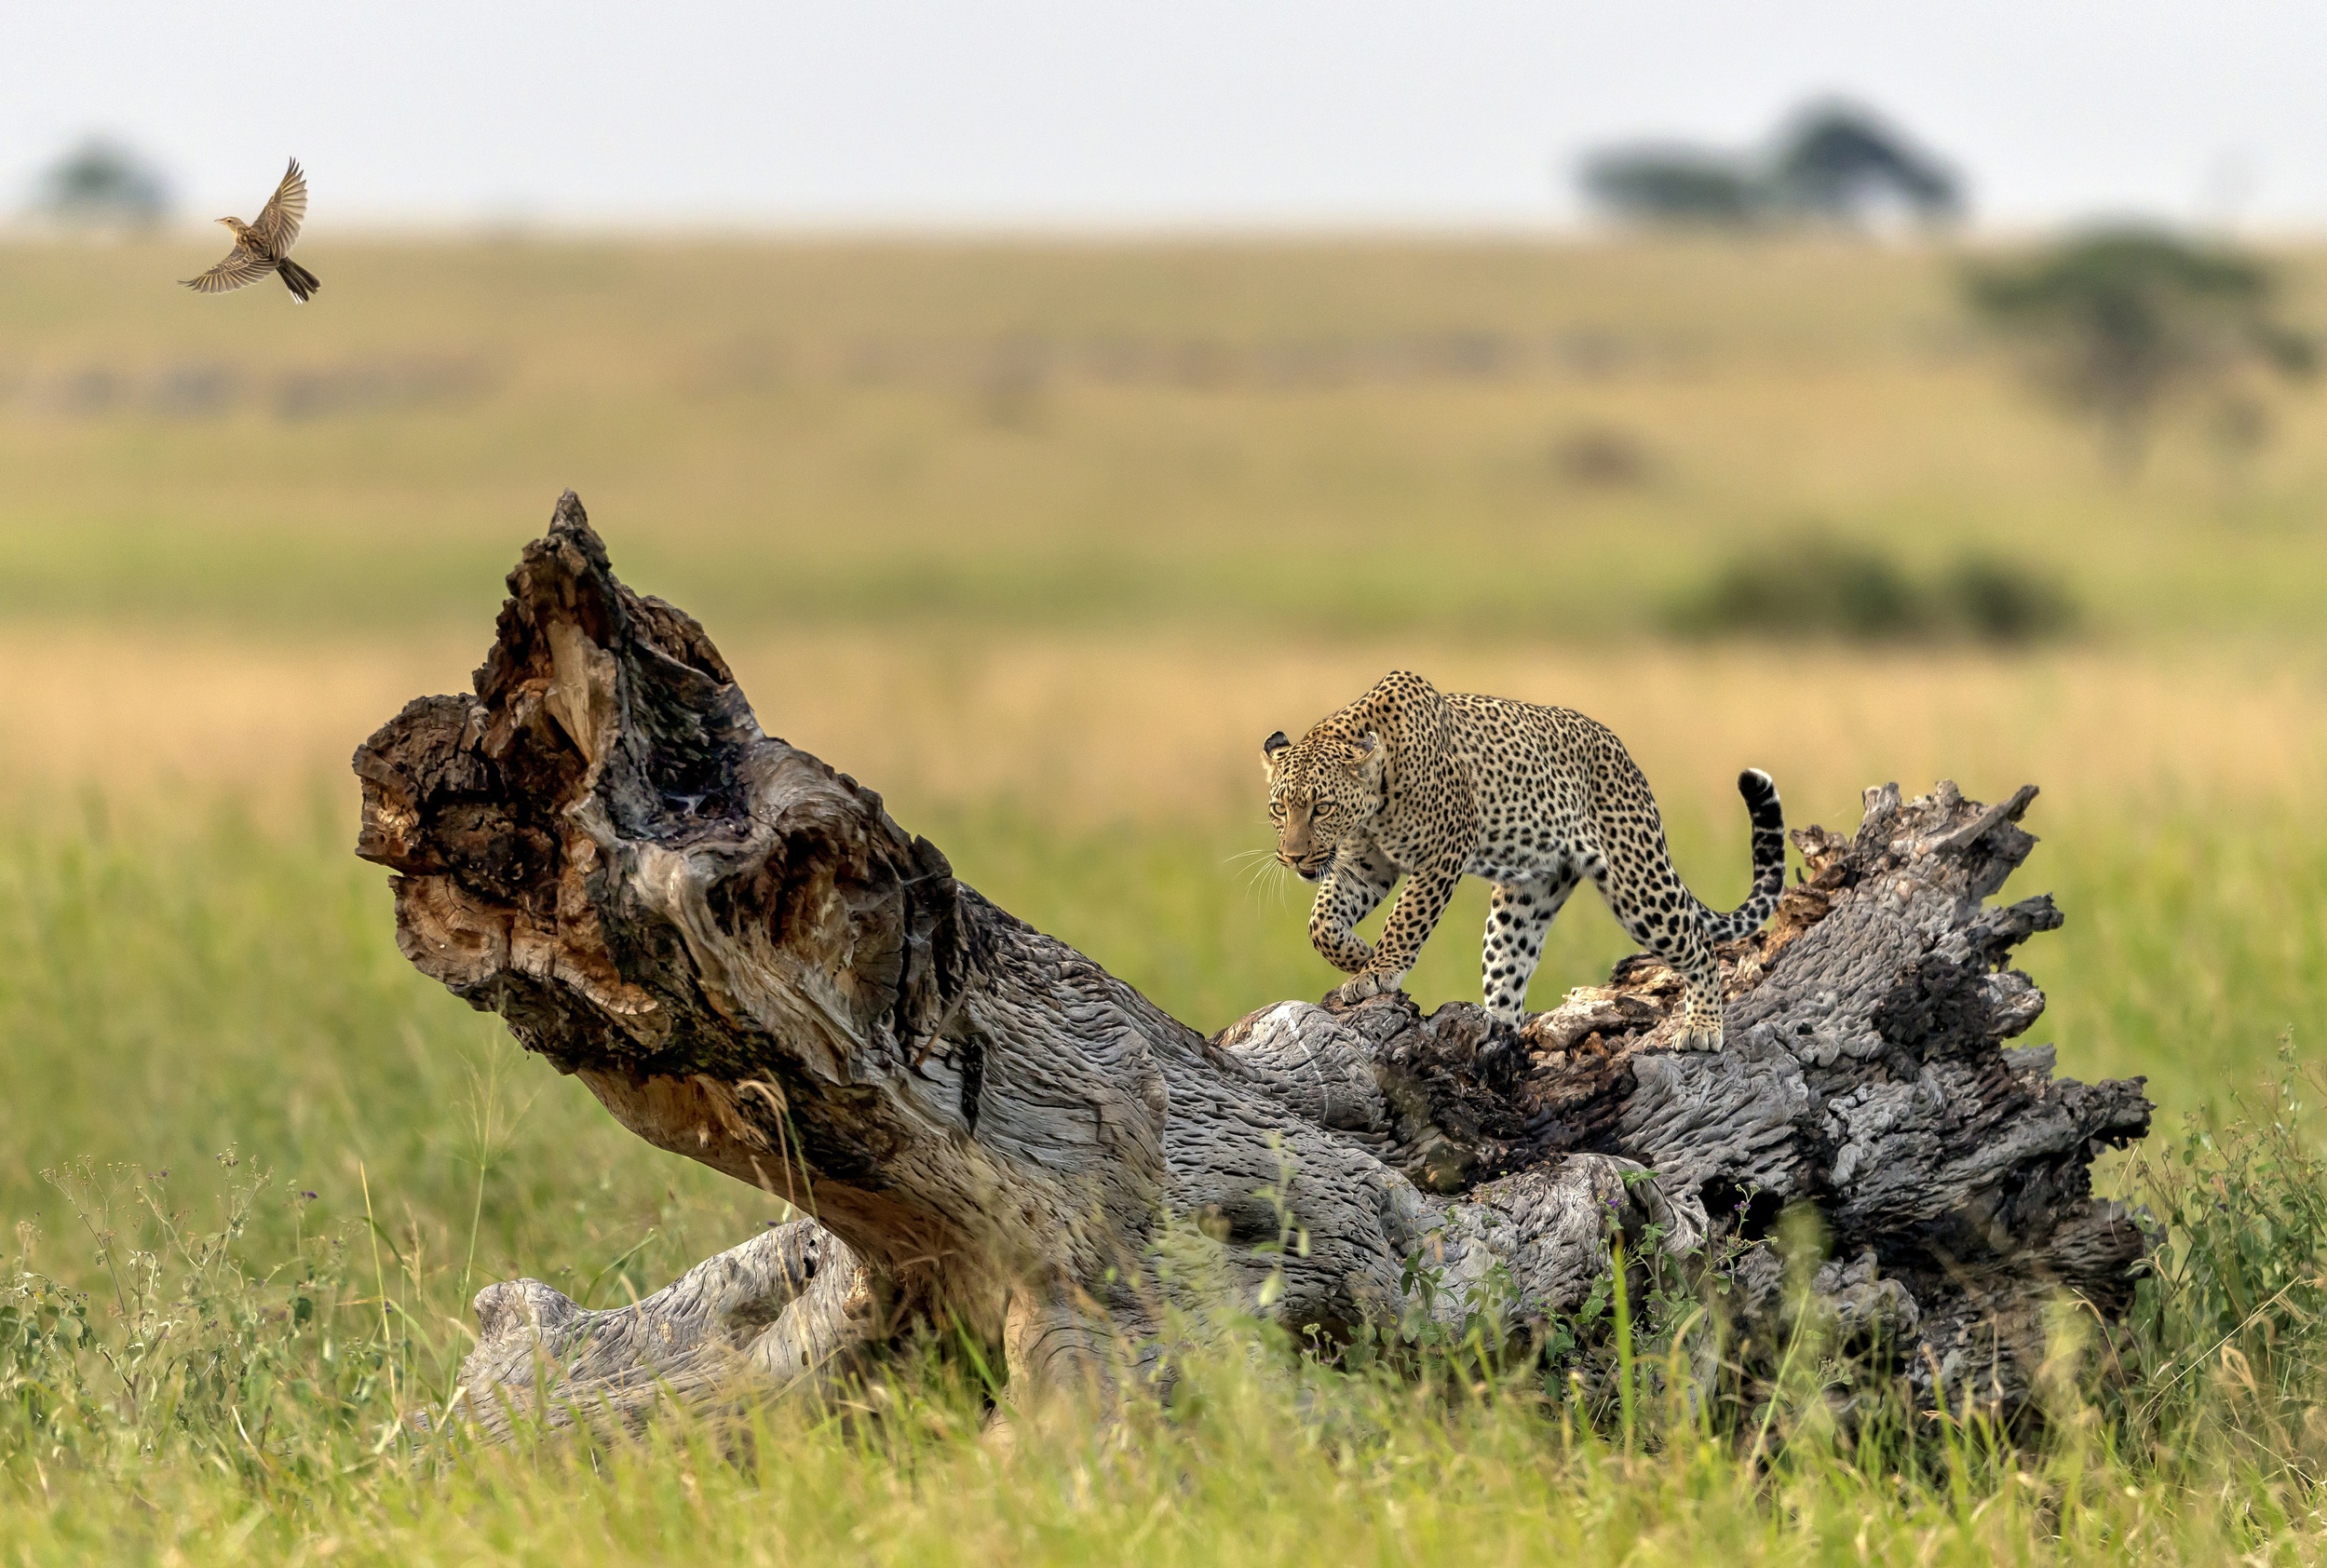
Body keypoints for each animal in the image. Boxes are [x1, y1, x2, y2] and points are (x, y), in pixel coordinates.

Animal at [1275, 665, 1778, 1042]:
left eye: (1322, 807)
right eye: (1280, 808)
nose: (1292, 857)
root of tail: (1626, 757)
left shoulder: (1444, 851)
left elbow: (1406, 918)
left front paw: (1379, 969)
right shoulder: (1365, 863)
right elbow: (1320, 922)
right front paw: (1357, 956)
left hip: (1639, 884)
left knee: (1700, 944)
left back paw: (1703, 1027)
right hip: (1526, 899)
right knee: (1509, 975)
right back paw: (1500, 1036)